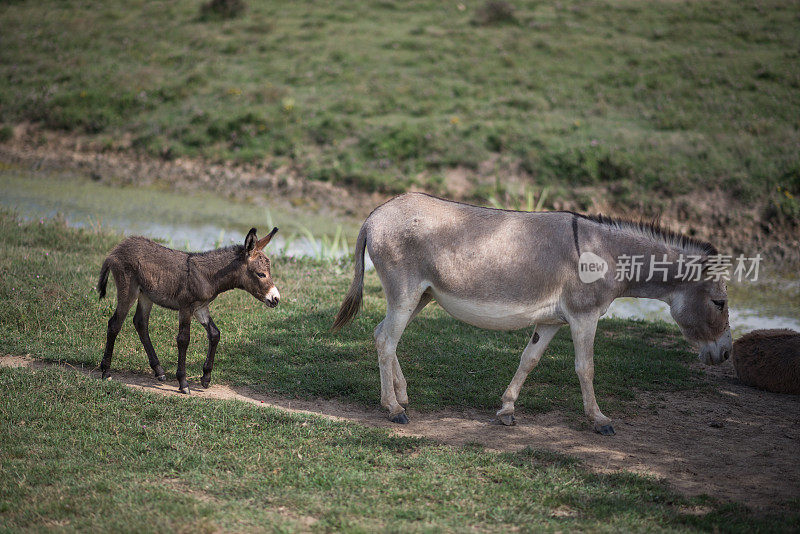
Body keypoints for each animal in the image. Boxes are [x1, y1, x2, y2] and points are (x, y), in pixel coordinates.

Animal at [97, 228, 282, 396]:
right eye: (261, 274)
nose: (276, 299)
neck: (207, 276)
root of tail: (116, 249)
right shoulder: (186, 307)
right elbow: (183, 339)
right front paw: (183, 383)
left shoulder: (200, 308)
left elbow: (215, 334)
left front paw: (206, 377)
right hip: (128, 290)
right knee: (115, 324)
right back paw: (106, 371)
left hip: (146, 295)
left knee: (140, 323)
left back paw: (159, 370)